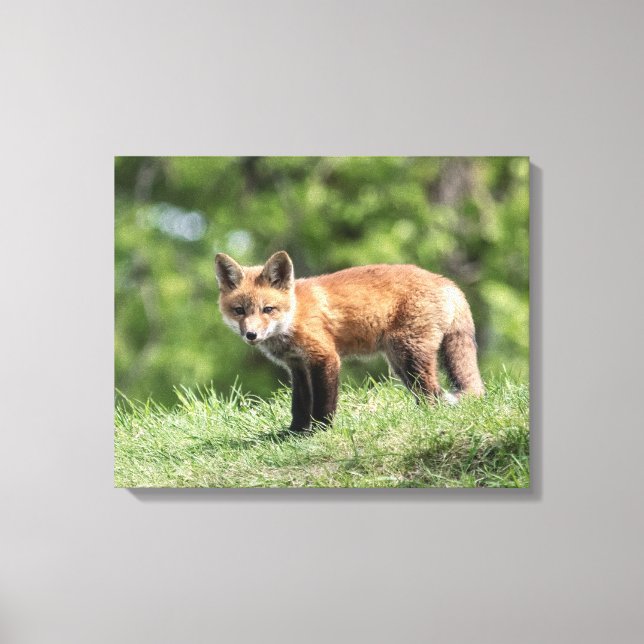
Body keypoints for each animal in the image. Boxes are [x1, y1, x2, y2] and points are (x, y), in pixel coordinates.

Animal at [215, 251, 484, 432]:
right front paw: (294, 432)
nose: (251, 335)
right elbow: (299, 404)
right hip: (399, 363)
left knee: (432, 393)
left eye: (268, 309)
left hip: (409, 355)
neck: (294, 315)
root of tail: (446, 281)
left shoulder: (324, 357)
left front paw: (320, 431)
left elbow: (323, 402)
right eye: (239, 311)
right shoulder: (297, 366)